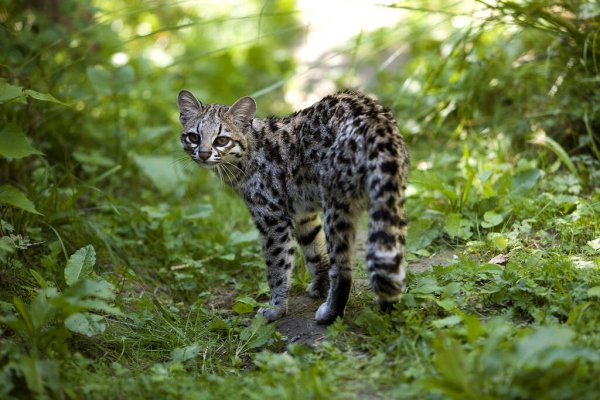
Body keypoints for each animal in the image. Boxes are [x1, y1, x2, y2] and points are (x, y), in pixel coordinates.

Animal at [177, 90, 408, 324]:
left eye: (222, 140)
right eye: (194, 137)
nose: (204, 154)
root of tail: (376, 122)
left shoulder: (272, 219)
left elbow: (277, 266)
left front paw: (276, 307)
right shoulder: (303, 213)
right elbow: (314, 251)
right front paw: (320, 285)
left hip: (336, 203)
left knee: (343, 269)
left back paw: (331, 313)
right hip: (391, 197)